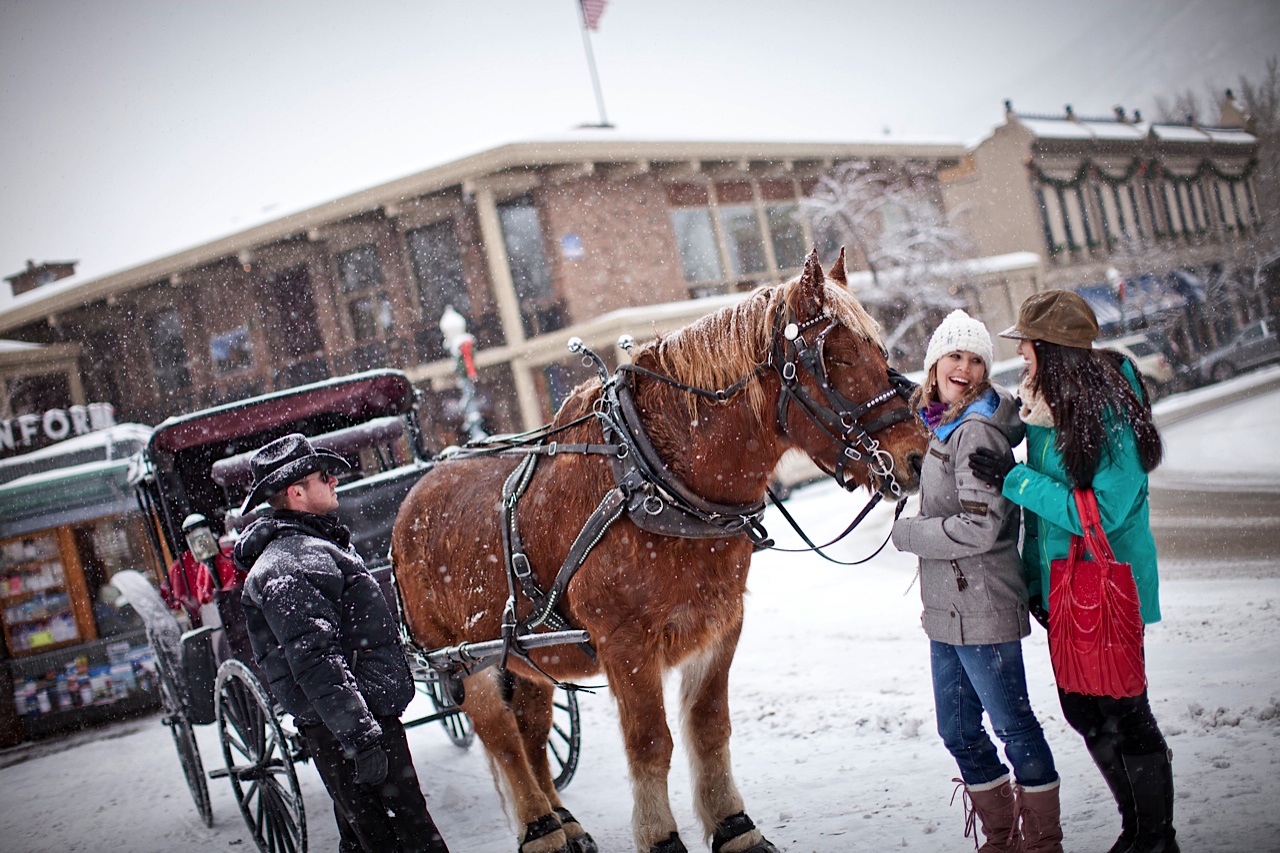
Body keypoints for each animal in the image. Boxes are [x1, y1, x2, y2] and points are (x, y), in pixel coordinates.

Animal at [394, 252, 926, 850]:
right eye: (834, 356)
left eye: (880, 349)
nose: (916, 457)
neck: (657, 482)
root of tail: (412, 496)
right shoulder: (625, 642)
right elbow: (650, 742)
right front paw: (660, 836)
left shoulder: (719, 623)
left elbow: (709, 726)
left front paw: (734, 825)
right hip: (462, 656)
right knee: (499, 734)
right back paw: (540, 829)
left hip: (522, 655)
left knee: (530, 728)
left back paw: (563, 820)